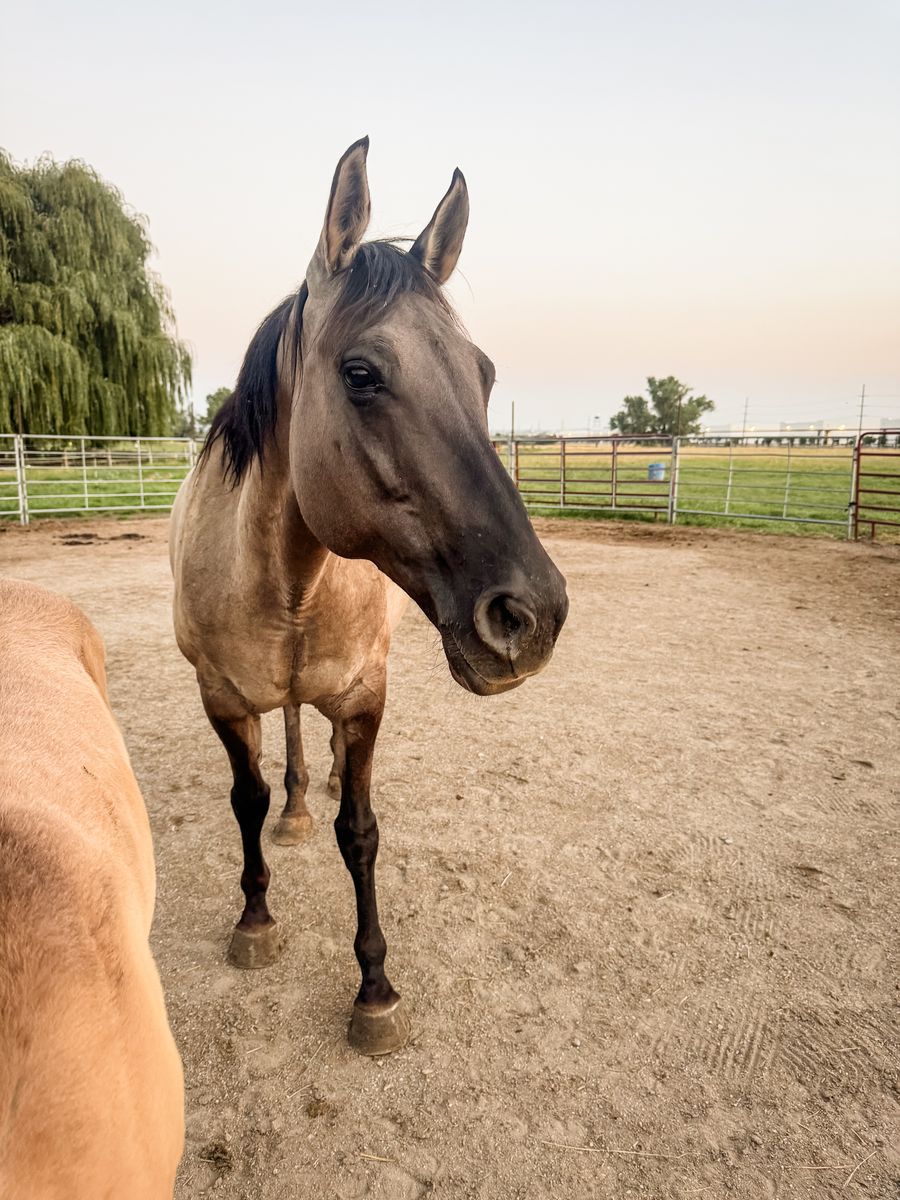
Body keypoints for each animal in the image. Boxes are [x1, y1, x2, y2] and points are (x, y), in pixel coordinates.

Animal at [169, 137, 568, 1055]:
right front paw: (255, 919)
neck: (286, 577)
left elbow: (361, 832)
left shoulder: (364, 699)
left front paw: (376, 989)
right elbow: (244, 800)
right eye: (361, 373)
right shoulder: (220, 698)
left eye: (483, 373)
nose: (533, 616)